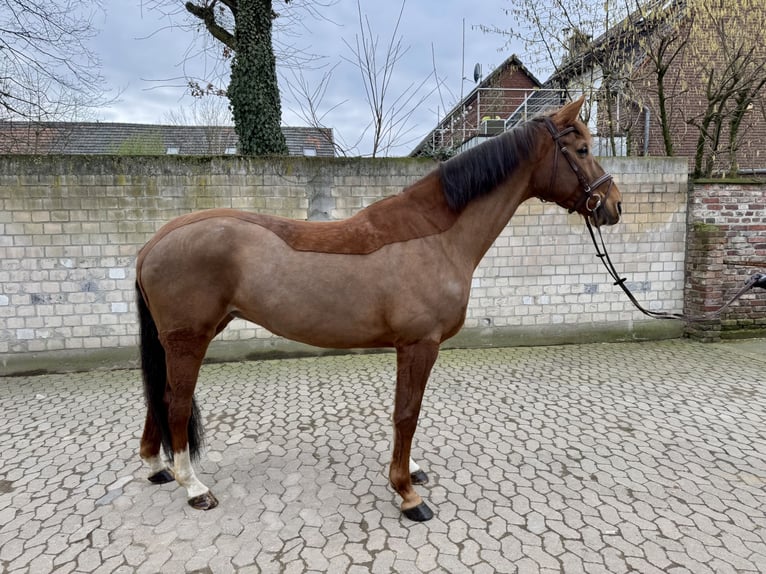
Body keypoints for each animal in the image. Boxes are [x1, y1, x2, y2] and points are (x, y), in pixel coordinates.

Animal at [134, 98, 624, 520]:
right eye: (582, 149)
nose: (614, 205)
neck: (435, 236)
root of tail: (154, 242)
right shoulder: (419, 345)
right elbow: (407, 414)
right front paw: (407, 494)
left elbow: (406, 413)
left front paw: (412, 472)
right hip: (189, 340)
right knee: (175, 404)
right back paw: (194, 487)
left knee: (159, 399)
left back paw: (159, 469)